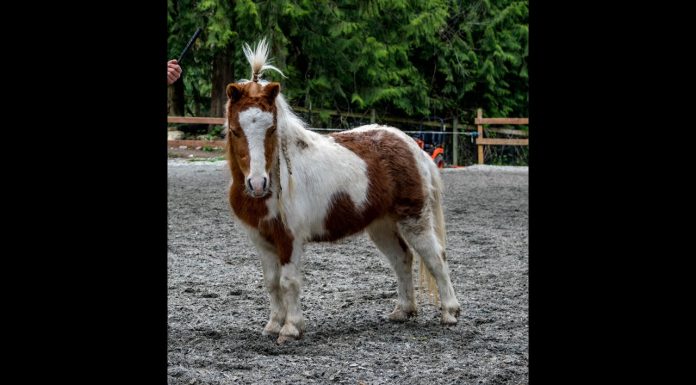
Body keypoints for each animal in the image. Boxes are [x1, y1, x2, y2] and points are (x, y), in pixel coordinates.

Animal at [226, 39, 460, 342]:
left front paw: (291, 328)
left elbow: (289, 282)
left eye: (271, 128)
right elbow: (272, 283)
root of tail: (414, 148)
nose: (257, 184)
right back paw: (403, 310)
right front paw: (274, 324)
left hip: (414, 219)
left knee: (434, 257)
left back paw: (450, 312)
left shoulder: (290, 238)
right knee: (402, 258)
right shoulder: (262, 239)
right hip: (381, 225)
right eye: (235, 130)